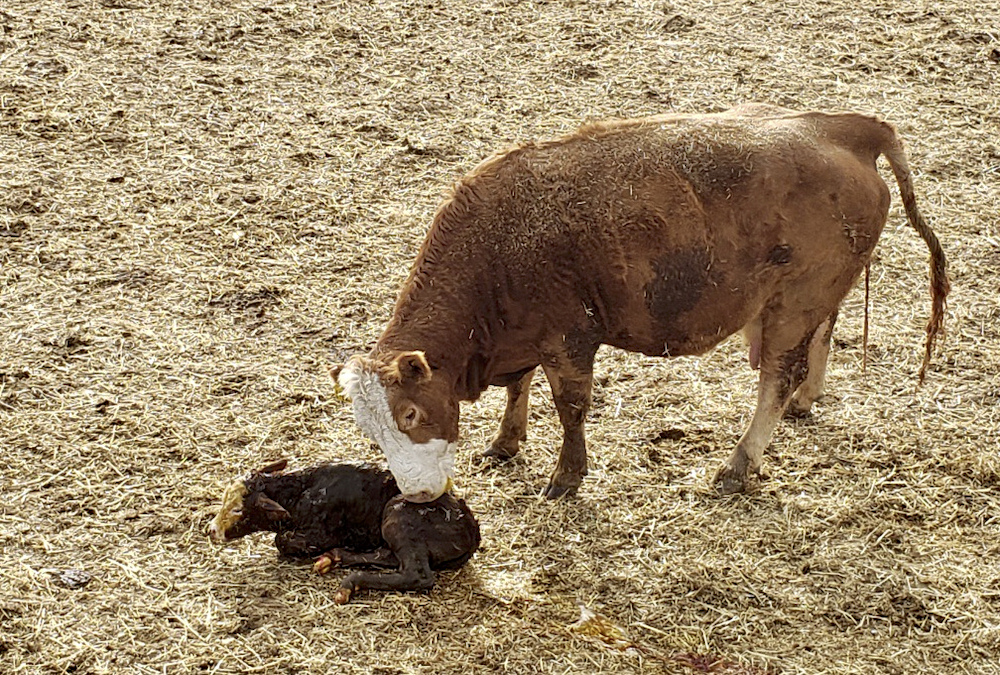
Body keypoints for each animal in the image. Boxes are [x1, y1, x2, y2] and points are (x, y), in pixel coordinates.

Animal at [208, 460, 481, 603]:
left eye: (237, 510)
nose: (211, 530)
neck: (299, 493)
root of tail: (472, 529)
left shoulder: (319, 534)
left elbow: (280, 540)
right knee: (389, 557)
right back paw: (334, 559)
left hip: (398, 518)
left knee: (417, 574)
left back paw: (349, 583)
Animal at [333, 104, 948, 501]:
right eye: (370, 430)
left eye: (410, 414)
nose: (416, 494)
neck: (497, 244)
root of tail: (850, 129)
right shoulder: (523, 337)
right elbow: (517, 388)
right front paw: (505, 443)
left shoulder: (569, 341)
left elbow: (570, 408)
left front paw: (566, 477)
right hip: (810, 297)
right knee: (823, 335)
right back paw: (806, 401)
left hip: (792, 304)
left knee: (777, 376)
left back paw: (737, 466)